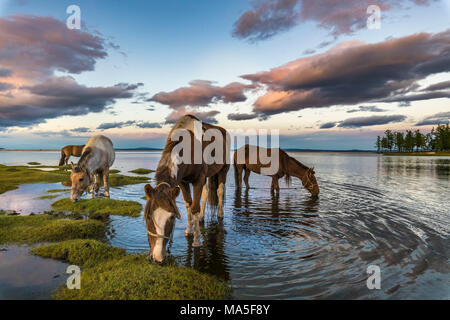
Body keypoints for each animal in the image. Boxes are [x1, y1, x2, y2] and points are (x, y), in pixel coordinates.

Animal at [143, 115, 229, 262]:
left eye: (172, 218)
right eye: (149, 217)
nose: (157, 257)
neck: (189, 148)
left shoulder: (198, 180)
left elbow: (194, 208)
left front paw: (197, 240)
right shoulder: (183, 182)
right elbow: (189, 204)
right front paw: (189, 230)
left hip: (223, 170)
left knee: (219, 191)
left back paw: (220, 214)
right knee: (205, 194)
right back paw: (201, 218)